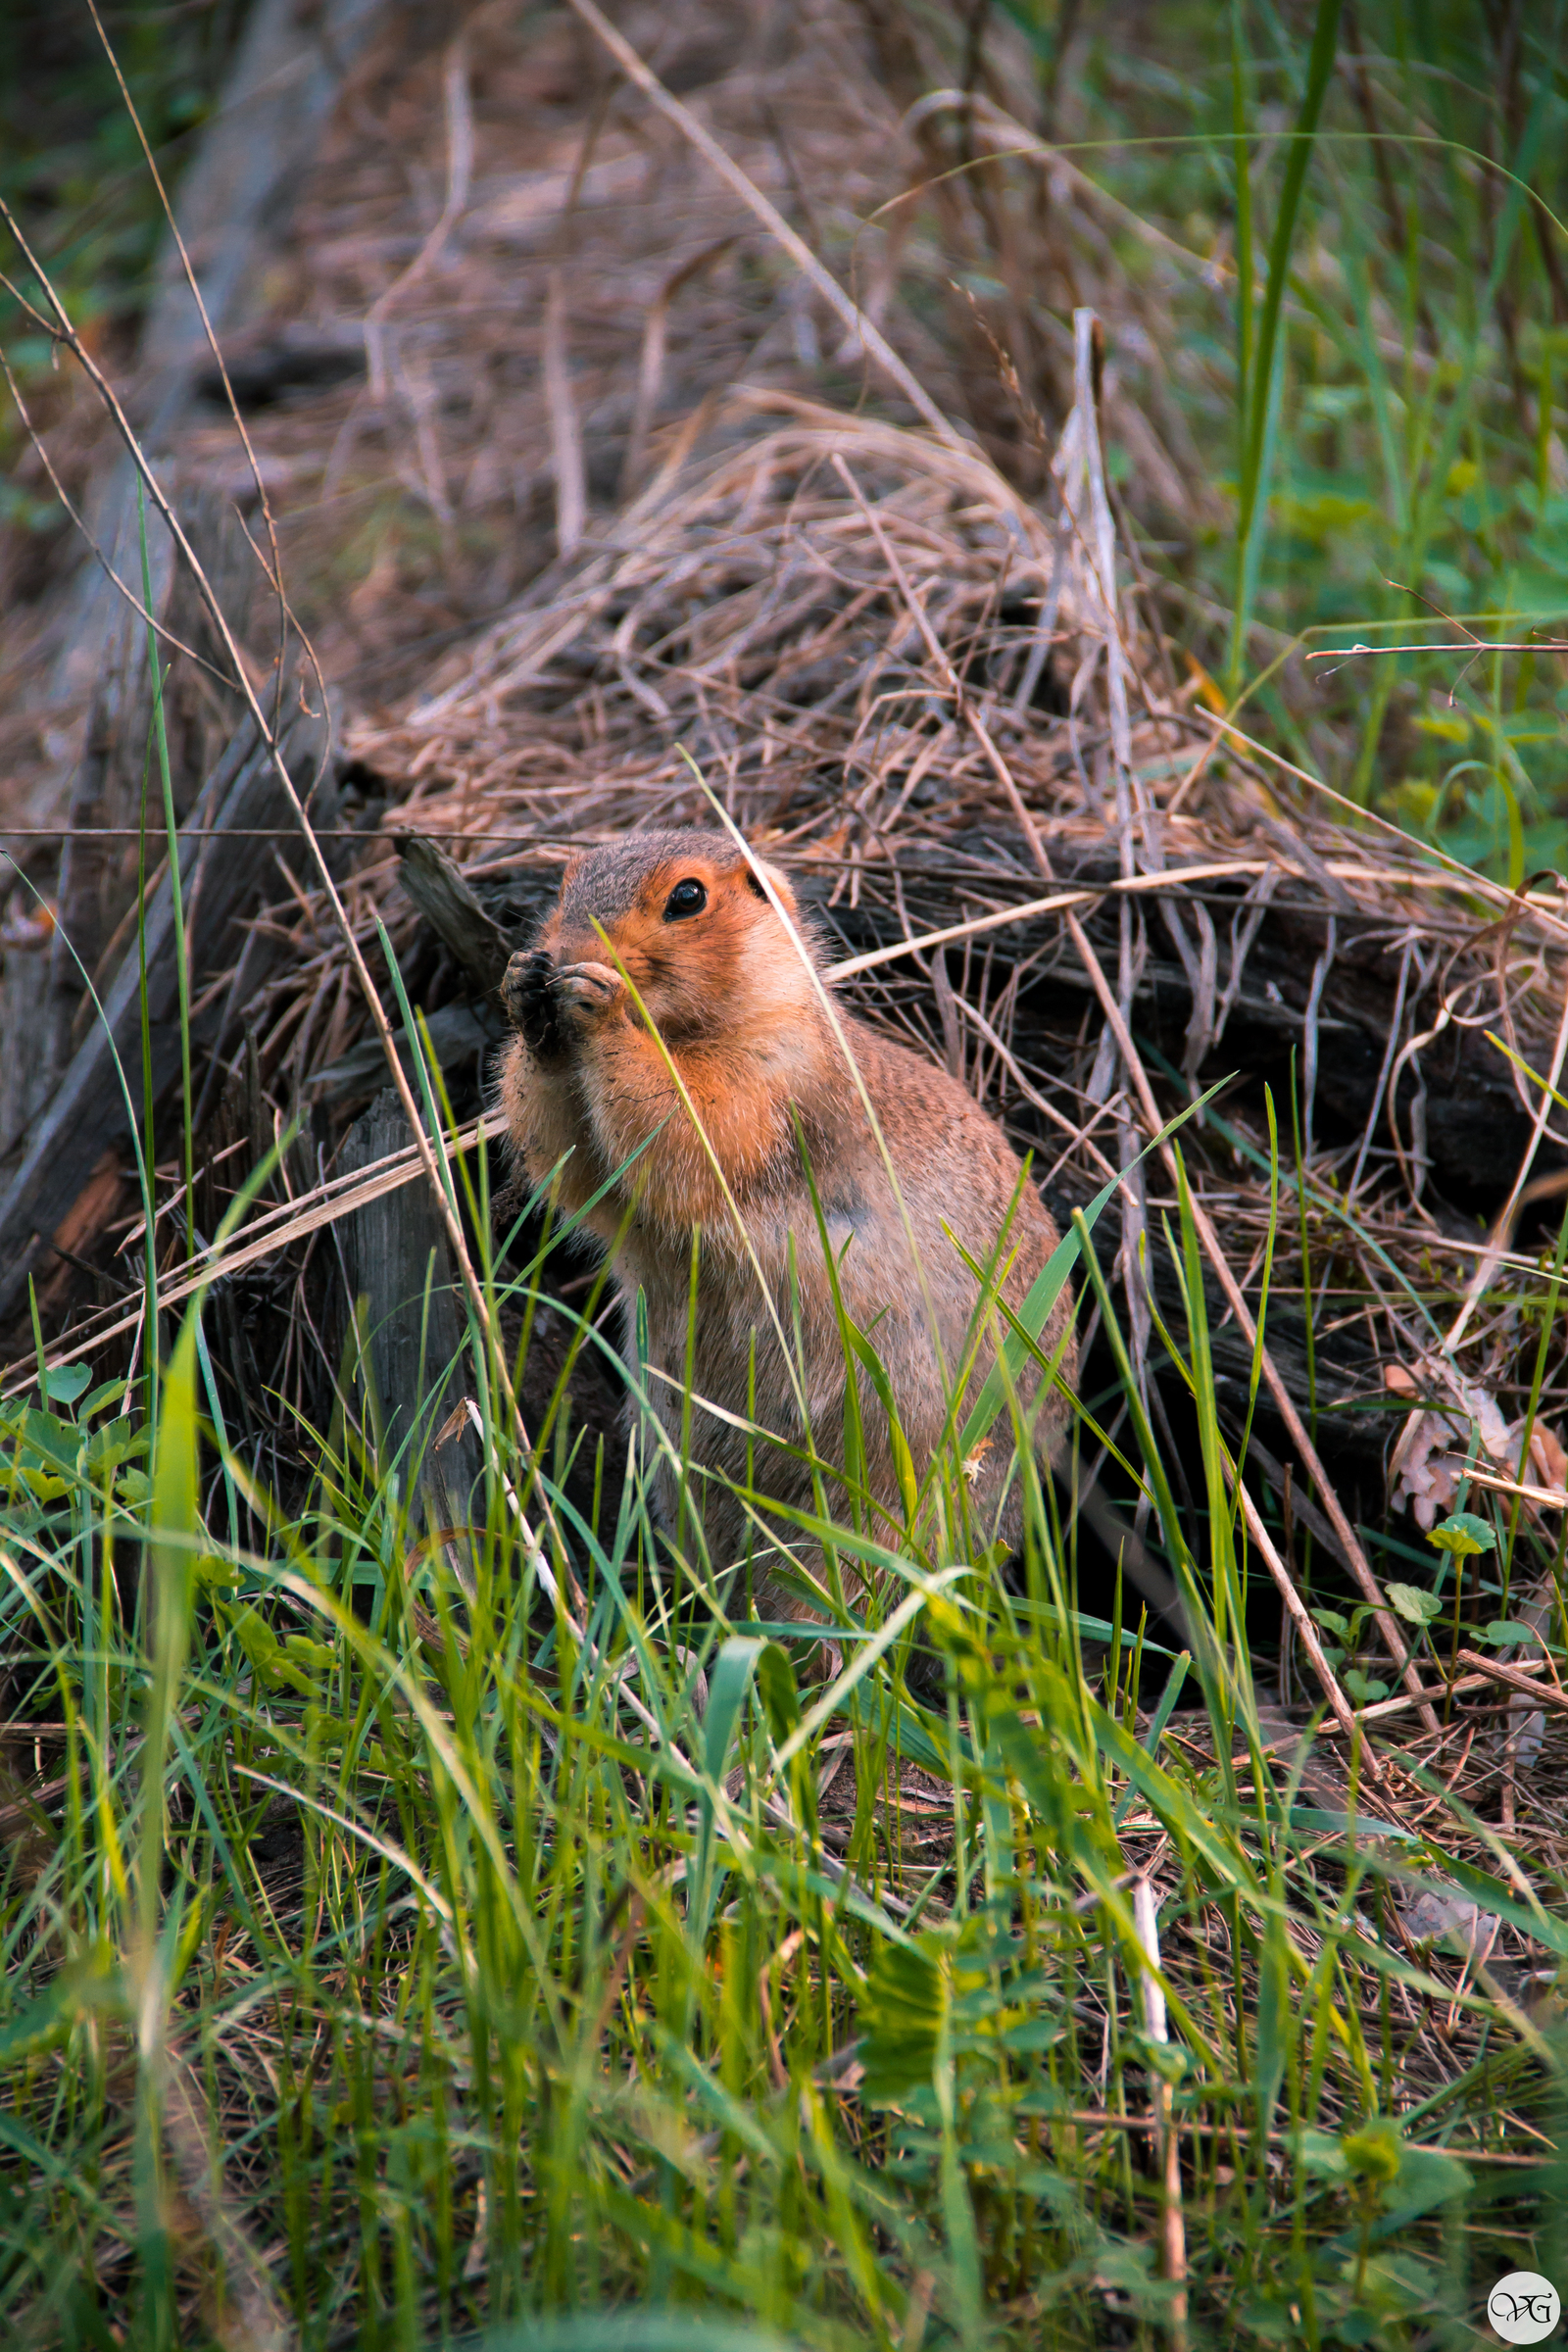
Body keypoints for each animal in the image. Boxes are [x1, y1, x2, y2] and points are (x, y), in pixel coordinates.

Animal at [503, 832, 1081, 1618]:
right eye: (566, 881)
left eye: (687, 897)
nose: (560, 951)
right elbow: (575, 1167)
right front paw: (522, 989)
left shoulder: (771, 1078)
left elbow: (690, 1124)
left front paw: (600, 1004)